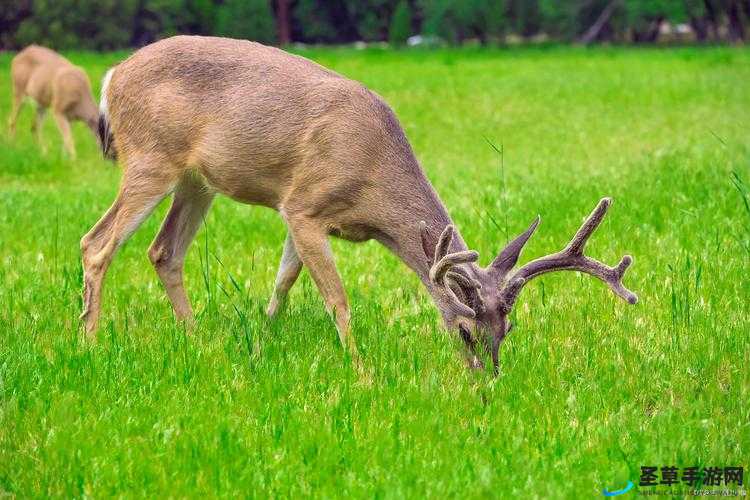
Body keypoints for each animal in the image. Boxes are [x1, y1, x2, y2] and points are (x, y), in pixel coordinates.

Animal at [83, 35, 640, 372]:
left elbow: (283, 283)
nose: (489, 378)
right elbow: (336, 298)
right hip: (151, 158)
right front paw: (359, 368)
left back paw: (198, 341)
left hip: (197, 180)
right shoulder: (304, 205)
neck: (373, 184)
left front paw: (261, 343)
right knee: (96, 243)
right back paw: (89, 341)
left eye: (507, 329)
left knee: (163, 251)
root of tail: (111, 77)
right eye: (464, 331)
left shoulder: (296, 211)